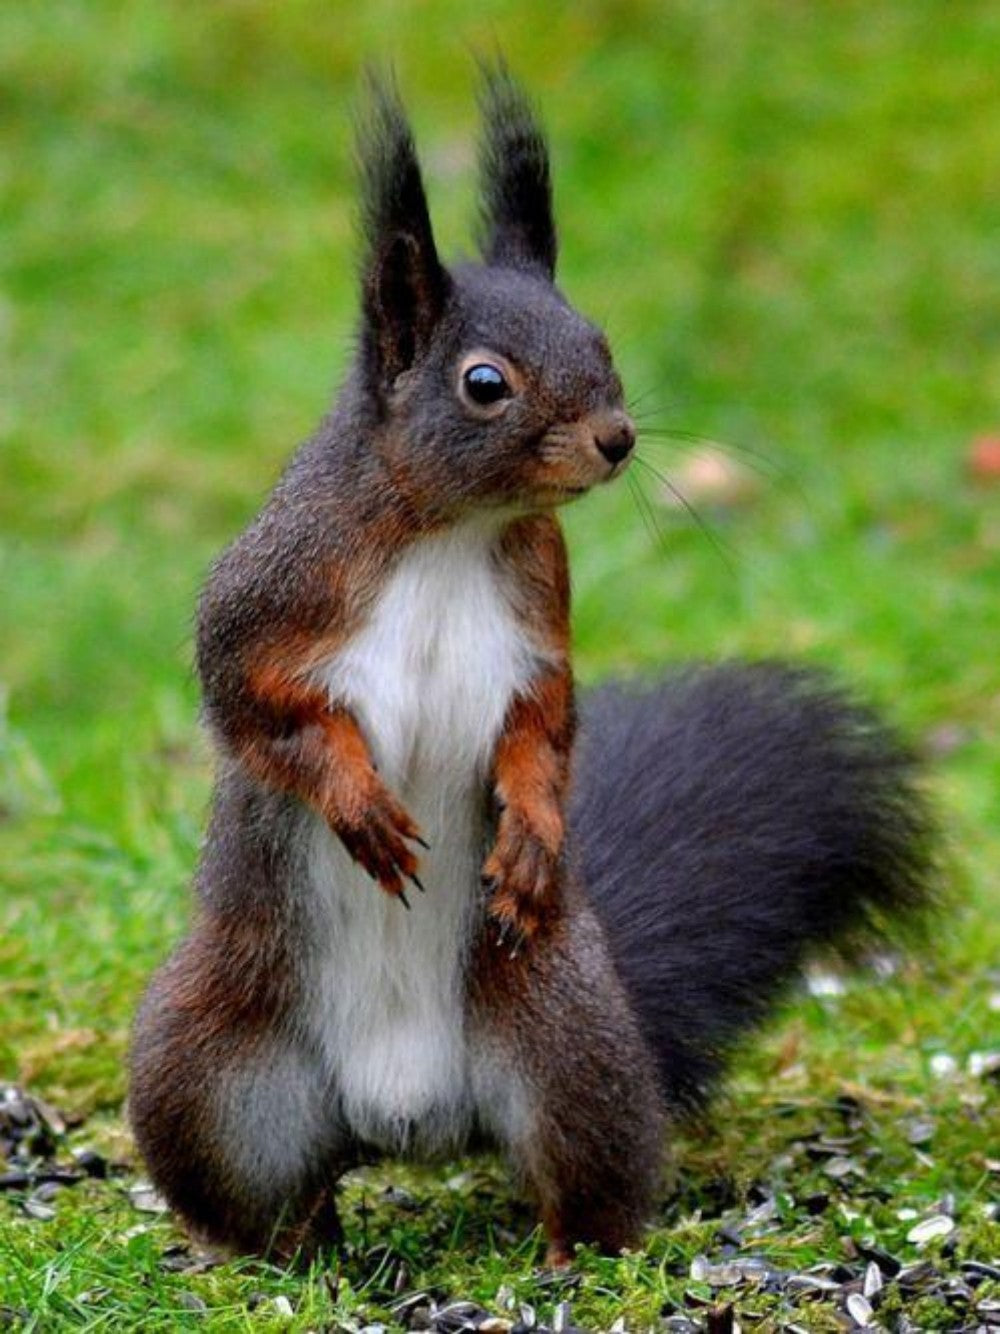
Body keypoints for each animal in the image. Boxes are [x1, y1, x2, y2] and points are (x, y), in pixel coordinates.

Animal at [129, 68, 936, 1267]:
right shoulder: (273, 589)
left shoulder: (538, 623)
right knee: (271, 1191)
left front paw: (532, 838)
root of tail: (404, 1121)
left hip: (569, 1041)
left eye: (598, 338)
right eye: (483, 382)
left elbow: (540, 730)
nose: (617, 438)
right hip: (206, 1067)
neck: (455, 529)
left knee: (582, 1174)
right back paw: (268, 1252)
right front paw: (360, 803)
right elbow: (255, 708)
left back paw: (567, 1252)